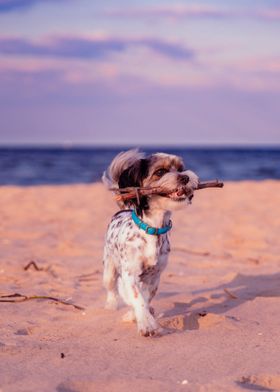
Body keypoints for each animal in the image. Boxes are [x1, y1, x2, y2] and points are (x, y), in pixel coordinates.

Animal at [101, 150, 198, 336]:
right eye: (160, 172)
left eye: (180, 168)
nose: (185, 177)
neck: (153, 229)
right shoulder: (129, 273)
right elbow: (137, 298)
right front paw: (146, 324)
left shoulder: (155, 276)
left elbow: (146, 298)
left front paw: (138, 315)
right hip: (109, 268)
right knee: (111, 288)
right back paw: (110, 305)